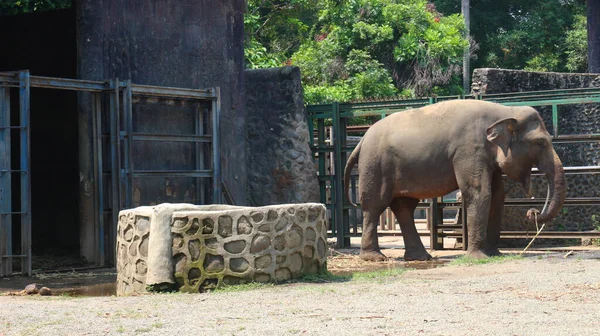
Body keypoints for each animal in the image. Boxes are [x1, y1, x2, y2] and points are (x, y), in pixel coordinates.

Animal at [344, 98, 564, 262]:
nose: (533, 212)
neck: (505, 111)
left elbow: (497, 197)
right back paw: (375, 258)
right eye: (540, 143)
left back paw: (421, 258)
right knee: (375, 205)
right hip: (375, 164)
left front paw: (495, 254)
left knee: (404, 207)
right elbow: (480, 193)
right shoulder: (470, 149)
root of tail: (361, 140)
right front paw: (478, 258)